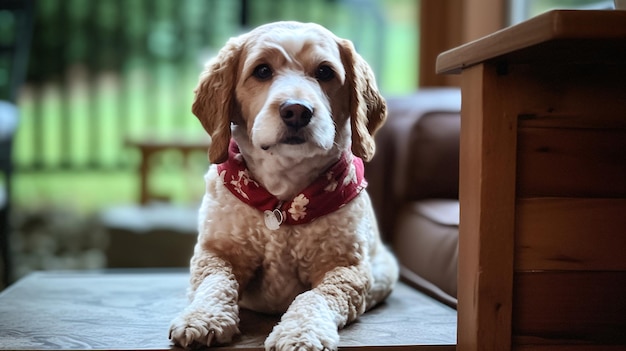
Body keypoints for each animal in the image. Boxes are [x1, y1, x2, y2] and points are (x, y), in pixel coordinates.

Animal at [168, 21, 398, 351]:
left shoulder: (346, 267)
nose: (297, 110)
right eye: (262, 71)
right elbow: (215, 282)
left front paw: (301, 332)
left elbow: (314, 297)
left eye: (325, 72)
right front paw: (203, 317)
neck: (282, 201)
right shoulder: (217, 251)